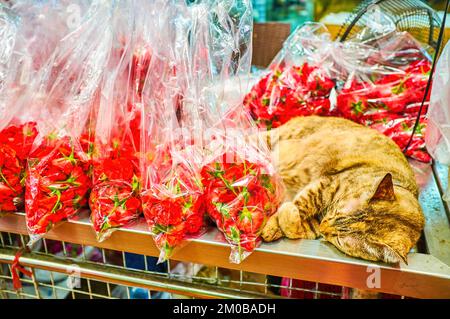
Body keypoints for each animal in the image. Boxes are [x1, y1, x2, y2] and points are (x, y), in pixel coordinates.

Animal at [260, 116, 426, 264]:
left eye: (339, 240)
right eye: (336, 213)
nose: (323, 228)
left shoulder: (314, 222)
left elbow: (295, 229)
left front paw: (279, 224)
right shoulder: (327, 184)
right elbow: (302, 204)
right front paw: (274, 224)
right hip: (278, 136)